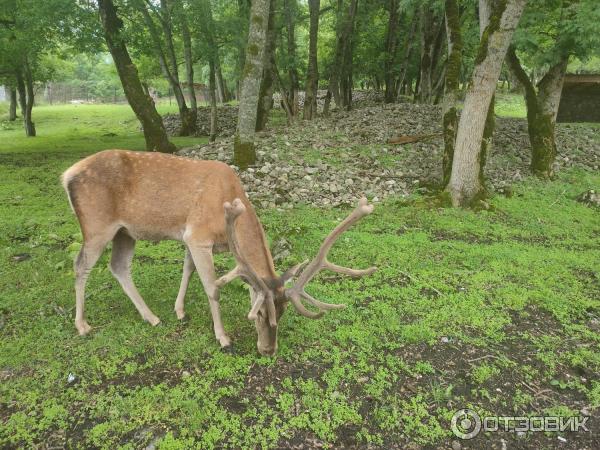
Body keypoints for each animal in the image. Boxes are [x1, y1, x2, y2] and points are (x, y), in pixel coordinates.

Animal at [63, 150, 378, 356]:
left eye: (283, 312)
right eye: (259, 313)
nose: (268, 350)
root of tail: (67, 174)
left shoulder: (192, 239)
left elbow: (188, 269)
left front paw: (179, 311)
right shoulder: (198, 236)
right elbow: (213, 288)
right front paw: (223, 338)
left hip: (125, 231)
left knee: (118, 266)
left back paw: (151, 317)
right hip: (97, 225)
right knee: (80, 266)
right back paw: (82, 325)